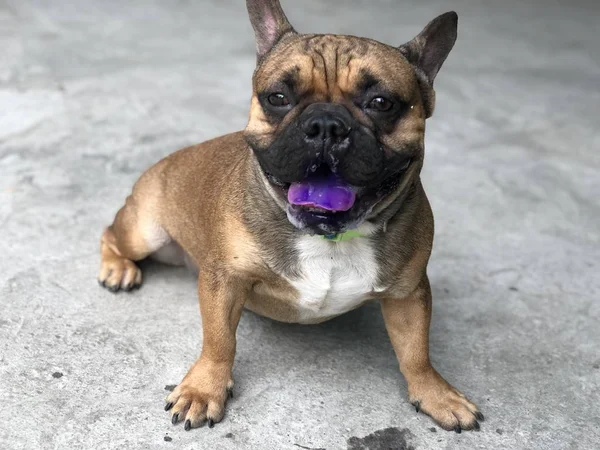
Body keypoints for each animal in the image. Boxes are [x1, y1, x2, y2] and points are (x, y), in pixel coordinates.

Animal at [97, 0, 482, 432]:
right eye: (277, 97)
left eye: (382, 103)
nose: (326, 124)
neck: (329, 238)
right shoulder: (224, 280)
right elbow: (219, 340)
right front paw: (203, 389)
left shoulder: (409, 293)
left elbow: (416, 349)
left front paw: (435, 393)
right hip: (145, 230)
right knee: (110, 234)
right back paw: (118, 269)